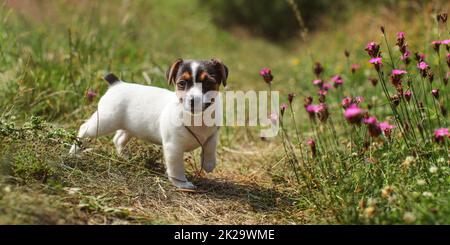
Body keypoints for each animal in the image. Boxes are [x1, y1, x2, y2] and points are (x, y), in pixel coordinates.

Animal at [70, 58, 229, 190]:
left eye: (208, 83)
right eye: (182, 83)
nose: (193, 100)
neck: (197, 118)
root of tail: (117, 84)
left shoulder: (213, 133)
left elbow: (210, 146)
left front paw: (208, 164)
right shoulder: (173, 147)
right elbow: (176, 167)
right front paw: (182, 183)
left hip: (129, 127)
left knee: (118, 139)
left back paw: (124, 157)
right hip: (105, 121)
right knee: (84, 129)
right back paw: (74, 152)